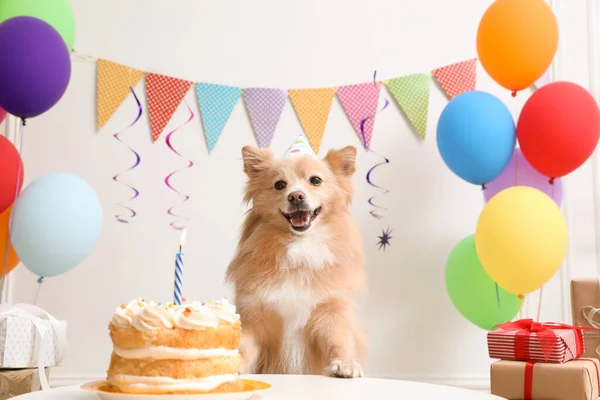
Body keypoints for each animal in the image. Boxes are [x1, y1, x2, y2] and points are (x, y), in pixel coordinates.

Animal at [225, 144, 366, 378]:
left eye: (315, 180)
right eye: (280, 185)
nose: (296, 196)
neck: (300, 247)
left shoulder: (330, 312)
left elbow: (338, 341)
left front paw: (345, 363)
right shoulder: (255, 317)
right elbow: (244, 347)